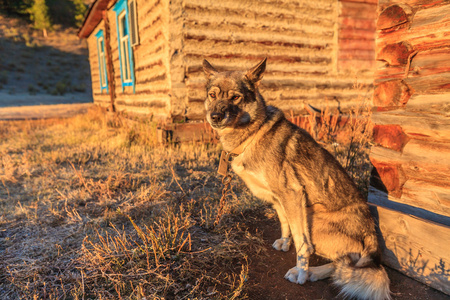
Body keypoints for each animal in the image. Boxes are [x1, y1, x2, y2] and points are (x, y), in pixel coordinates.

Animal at [203, 57, 390, 298]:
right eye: (212, 95)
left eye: (235, 97)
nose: (215, 117)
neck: (253, 133)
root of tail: (372, 236)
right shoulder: (279, 198)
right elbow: (286, 222)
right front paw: (285, 242)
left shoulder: (292, 194)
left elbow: (303, 243)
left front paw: (301, 271)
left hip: (314, 218)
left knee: (346, 262)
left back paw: (312, 273)